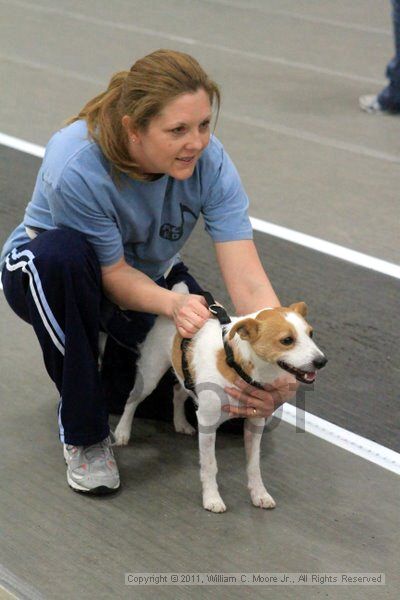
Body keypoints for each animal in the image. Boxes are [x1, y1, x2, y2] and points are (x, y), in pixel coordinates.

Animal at [114, 284, 326, 512]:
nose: (322, 361)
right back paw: (122, 432)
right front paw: (212, 498)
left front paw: (259, 494)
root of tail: (180, 295)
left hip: (186, 377)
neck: (237, 365)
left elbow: (254, 465)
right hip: (150, 375)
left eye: (311, 334)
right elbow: (210, 465)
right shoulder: (207, 424)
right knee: (132, 400)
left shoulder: (255, 423)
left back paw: (181, 423)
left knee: (178, 392)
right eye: (287, 340)